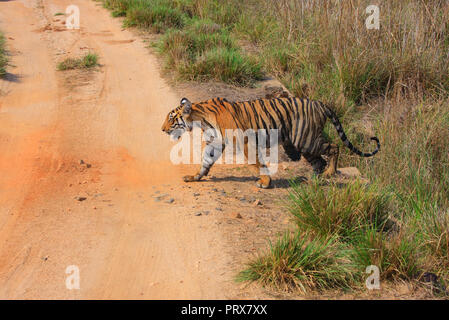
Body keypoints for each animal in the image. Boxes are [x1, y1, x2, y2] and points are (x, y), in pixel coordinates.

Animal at [161, 96, 378, 189]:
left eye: (171, 119)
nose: (162, 129)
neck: (201, 119)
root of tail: (319, 103)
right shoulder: (215, 144)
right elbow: (205, 161)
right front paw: (195, 177)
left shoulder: (244, 141)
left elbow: (257, 163)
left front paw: (265, 182)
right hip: (305, 145)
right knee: (319, 161)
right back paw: (316, 179)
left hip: (306, 140)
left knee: (334, 147)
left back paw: (329, 173)